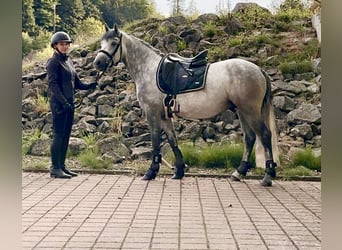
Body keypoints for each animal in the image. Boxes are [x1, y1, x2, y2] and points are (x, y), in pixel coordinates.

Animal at [93, 24, 278, 187]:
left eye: (114, 43)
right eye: (102, 43)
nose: (98, 63)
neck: (150, 70)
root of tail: (258, 70)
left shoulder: (152, 113)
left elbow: (155, 141)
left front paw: (151, 172)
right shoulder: (164, 115)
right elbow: (172, 140)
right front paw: (179, 171)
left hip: (250, 111)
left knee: (264, 135)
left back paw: (267, 177)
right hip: (242, 111)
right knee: (250, 138)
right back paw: (238, 173)